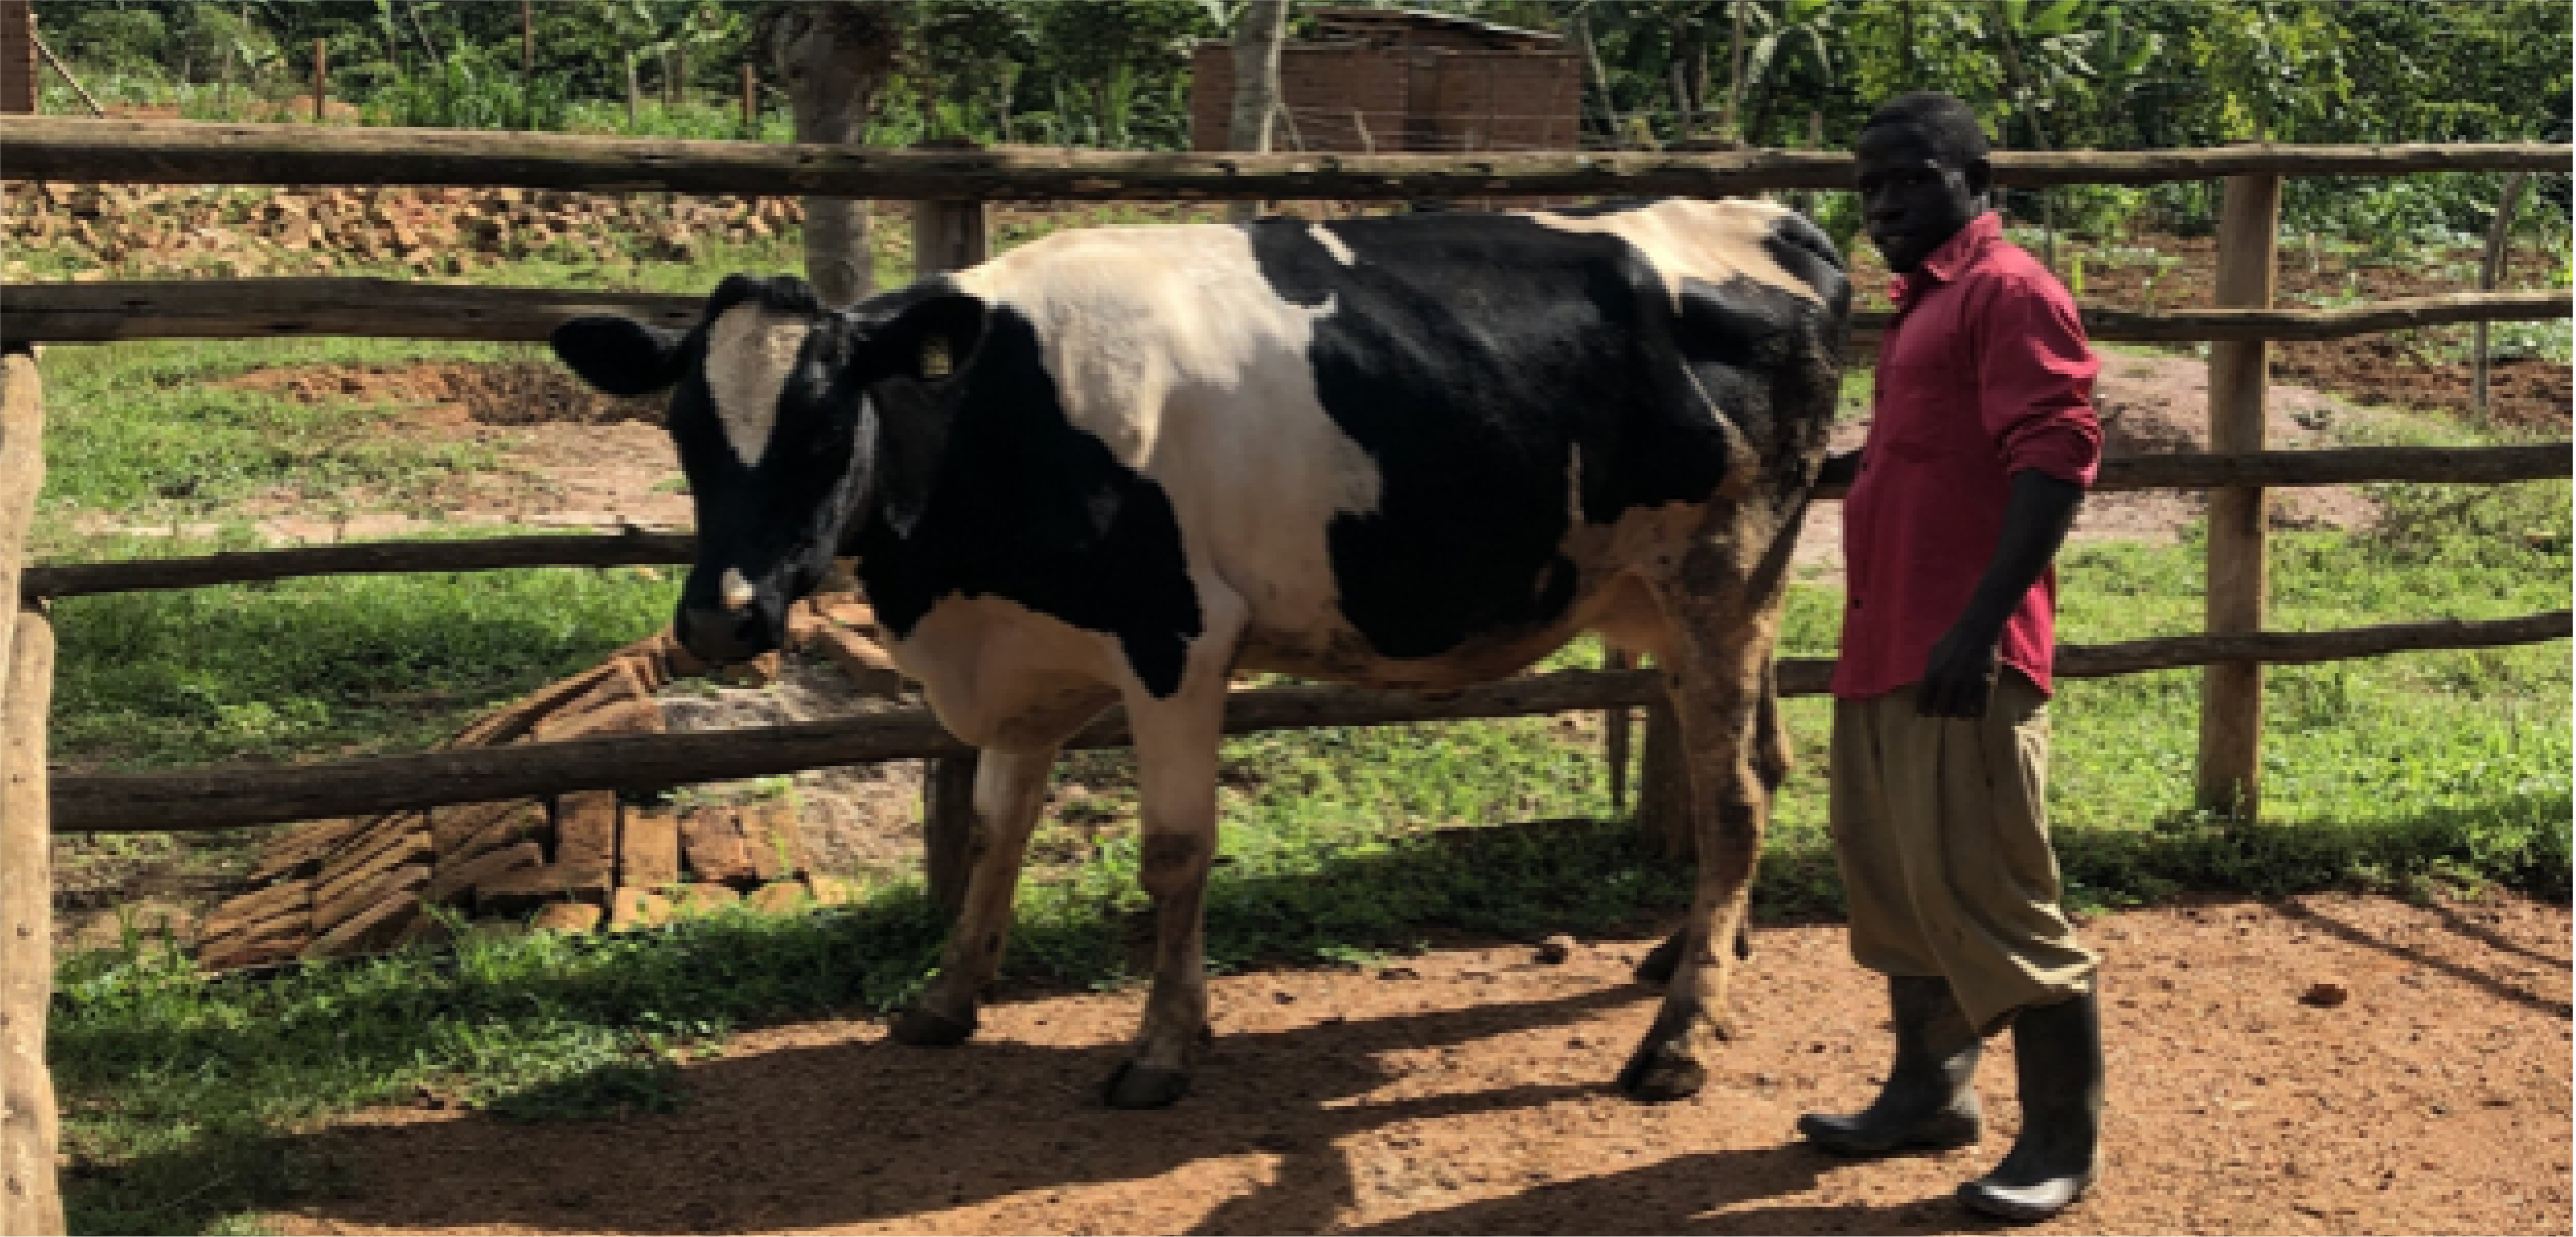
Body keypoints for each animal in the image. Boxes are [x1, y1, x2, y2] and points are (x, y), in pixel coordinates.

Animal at [559, 198, 1855, 1108]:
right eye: (682, 428)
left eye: (828, 424)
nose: (721, 618)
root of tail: (1767, 216)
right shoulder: (1030, 656)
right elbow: (993, 836)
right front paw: (948, 996)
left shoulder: (1177, 641)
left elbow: (1175, 853)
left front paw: (1163, 1046)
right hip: (1695, 599)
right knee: (1764, 762)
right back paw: (1691, 953)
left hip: (1720, 571)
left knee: (1734, 798)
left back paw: (1682, 1033)